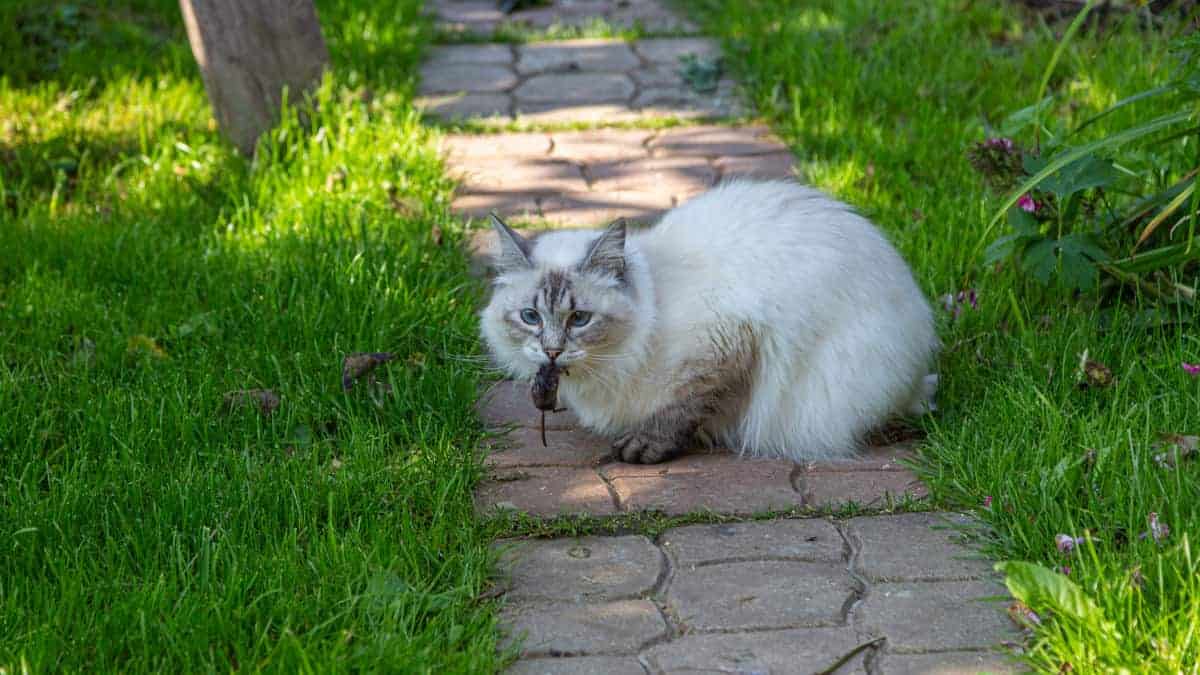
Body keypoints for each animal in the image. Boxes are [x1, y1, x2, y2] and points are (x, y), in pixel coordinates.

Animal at [477, 178, 936, 461]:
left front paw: (642, 447)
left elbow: (685, 405)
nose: (553, 352)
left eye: (580, 318)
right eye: (531, 316)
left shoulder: (728, 343)